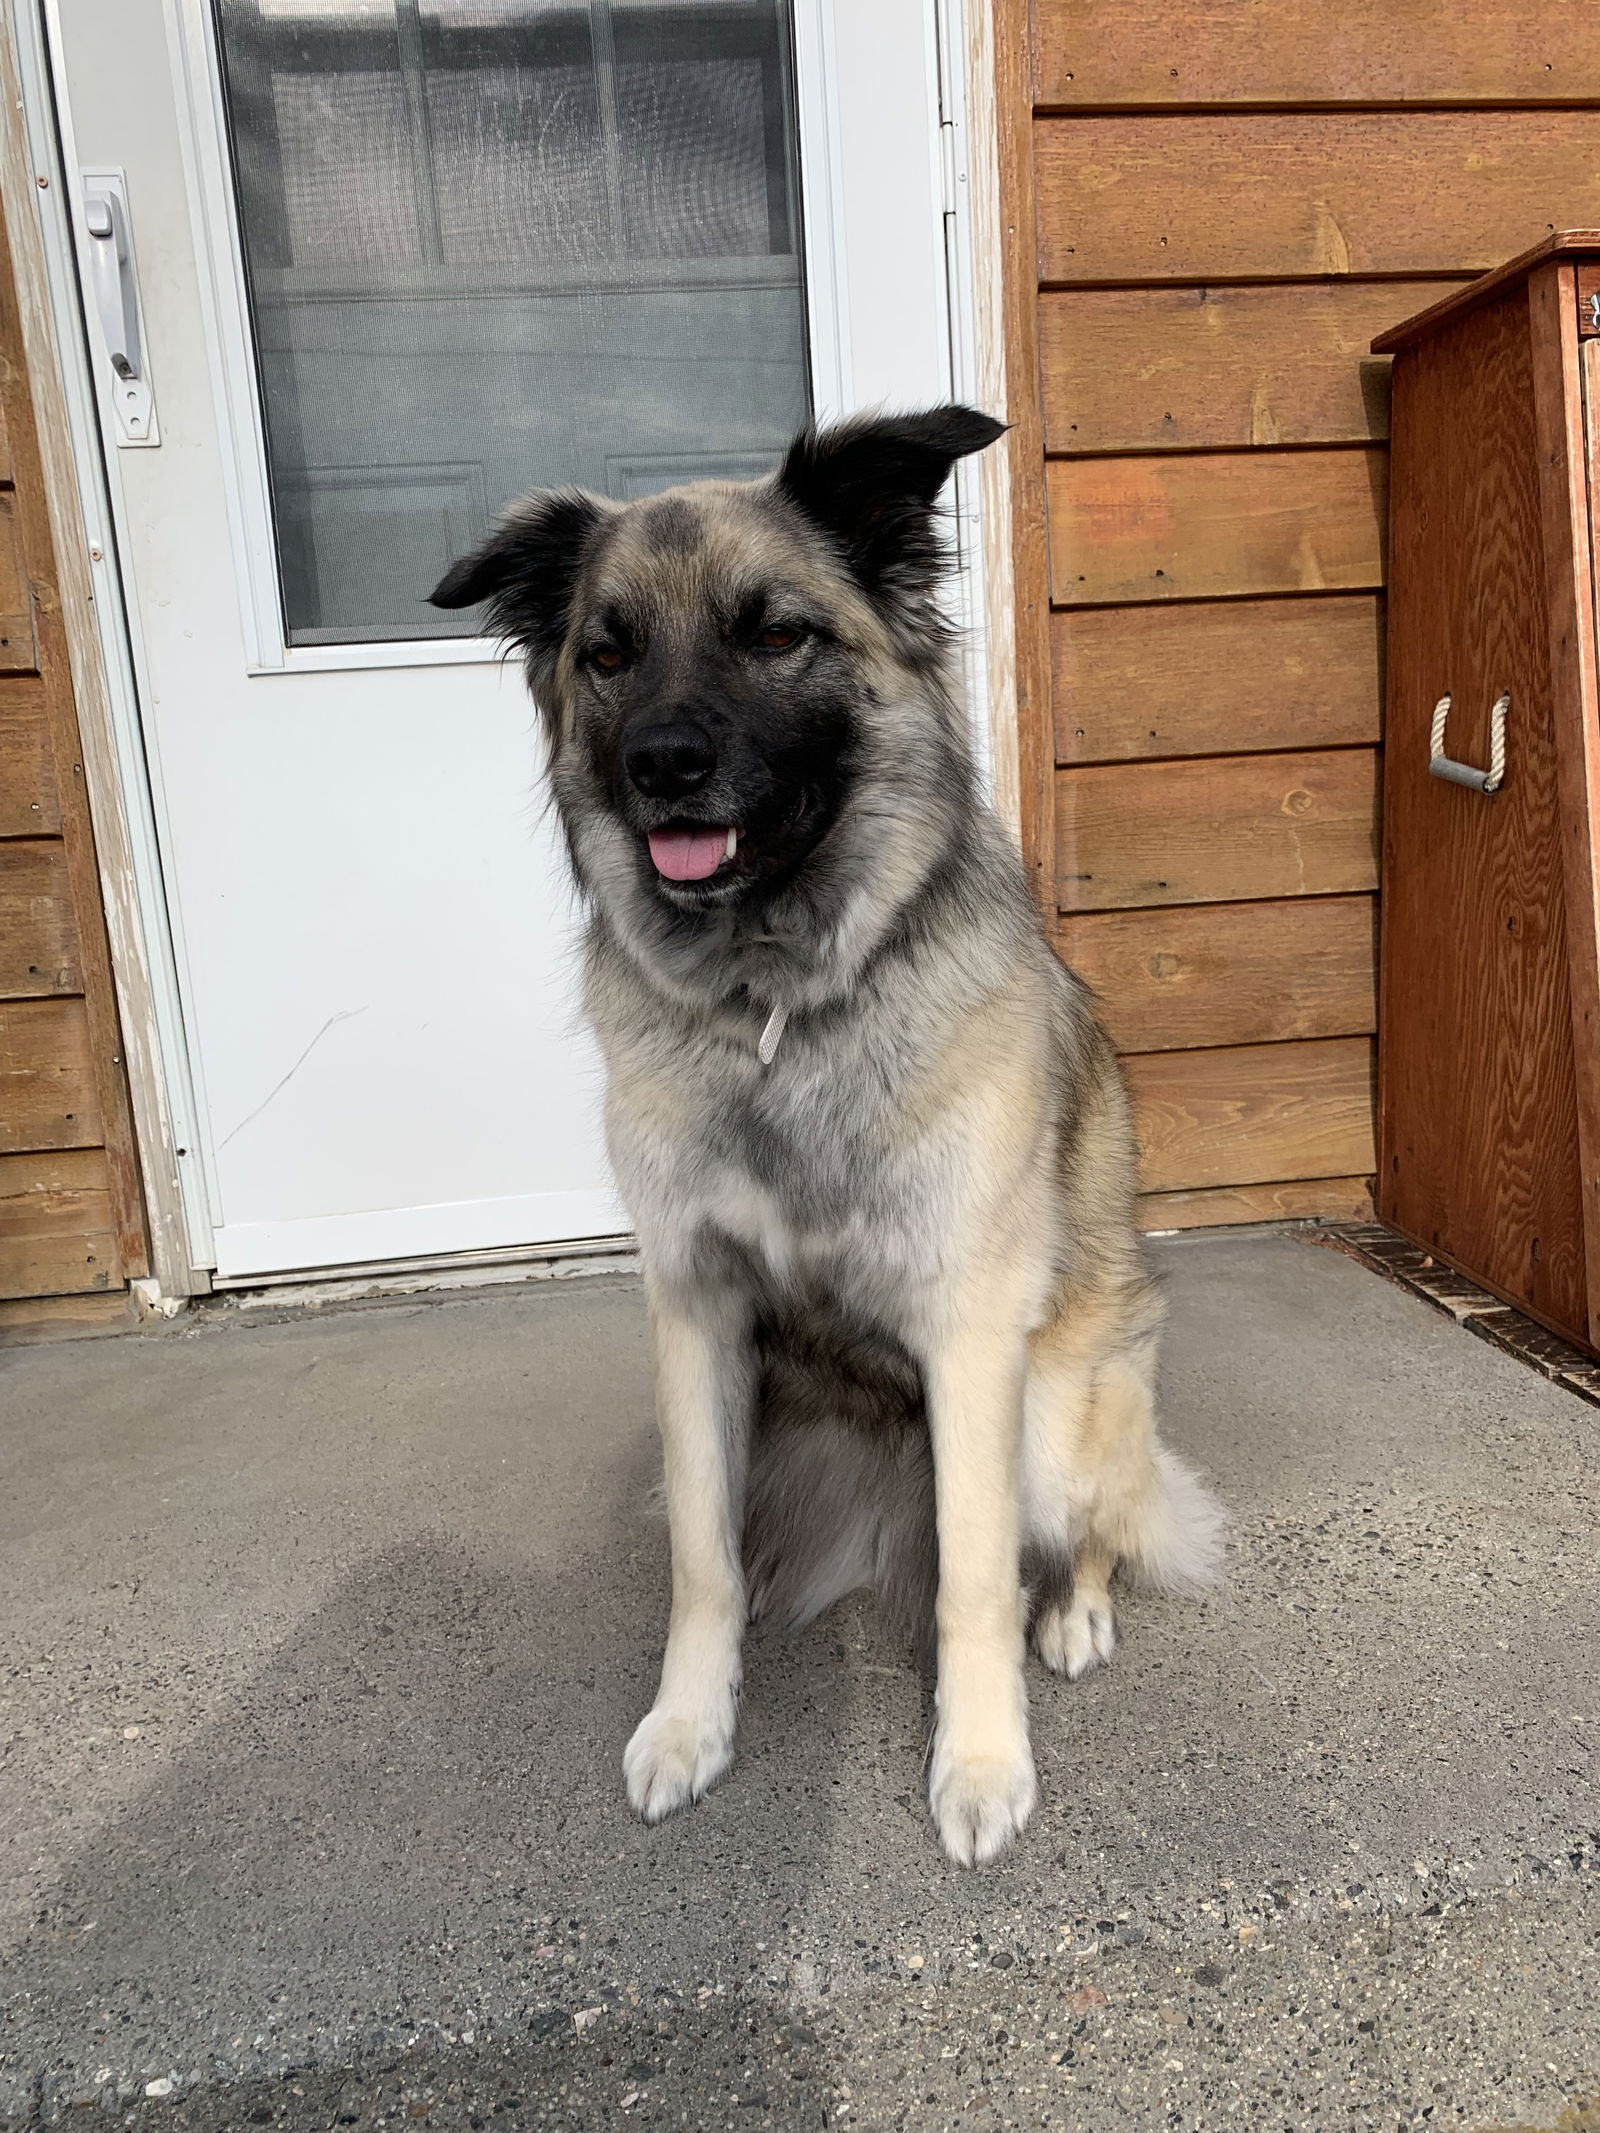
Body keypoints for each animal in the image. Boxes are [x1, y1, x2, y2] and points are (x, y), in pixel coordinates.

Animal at [433, 407, 1220, 1859]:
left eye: (776, 634)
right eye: (608, 653)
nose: (662, 768)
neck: (777, 1003)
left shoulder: (970, 1332)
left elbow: (974, 1581)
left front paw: (978, 1761)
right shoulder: (696, 1316)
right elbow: (701, 1563)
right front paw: (691, 1723)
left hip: (1059, 1410)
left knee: (1079, 1529)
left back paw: (1075, 1613)